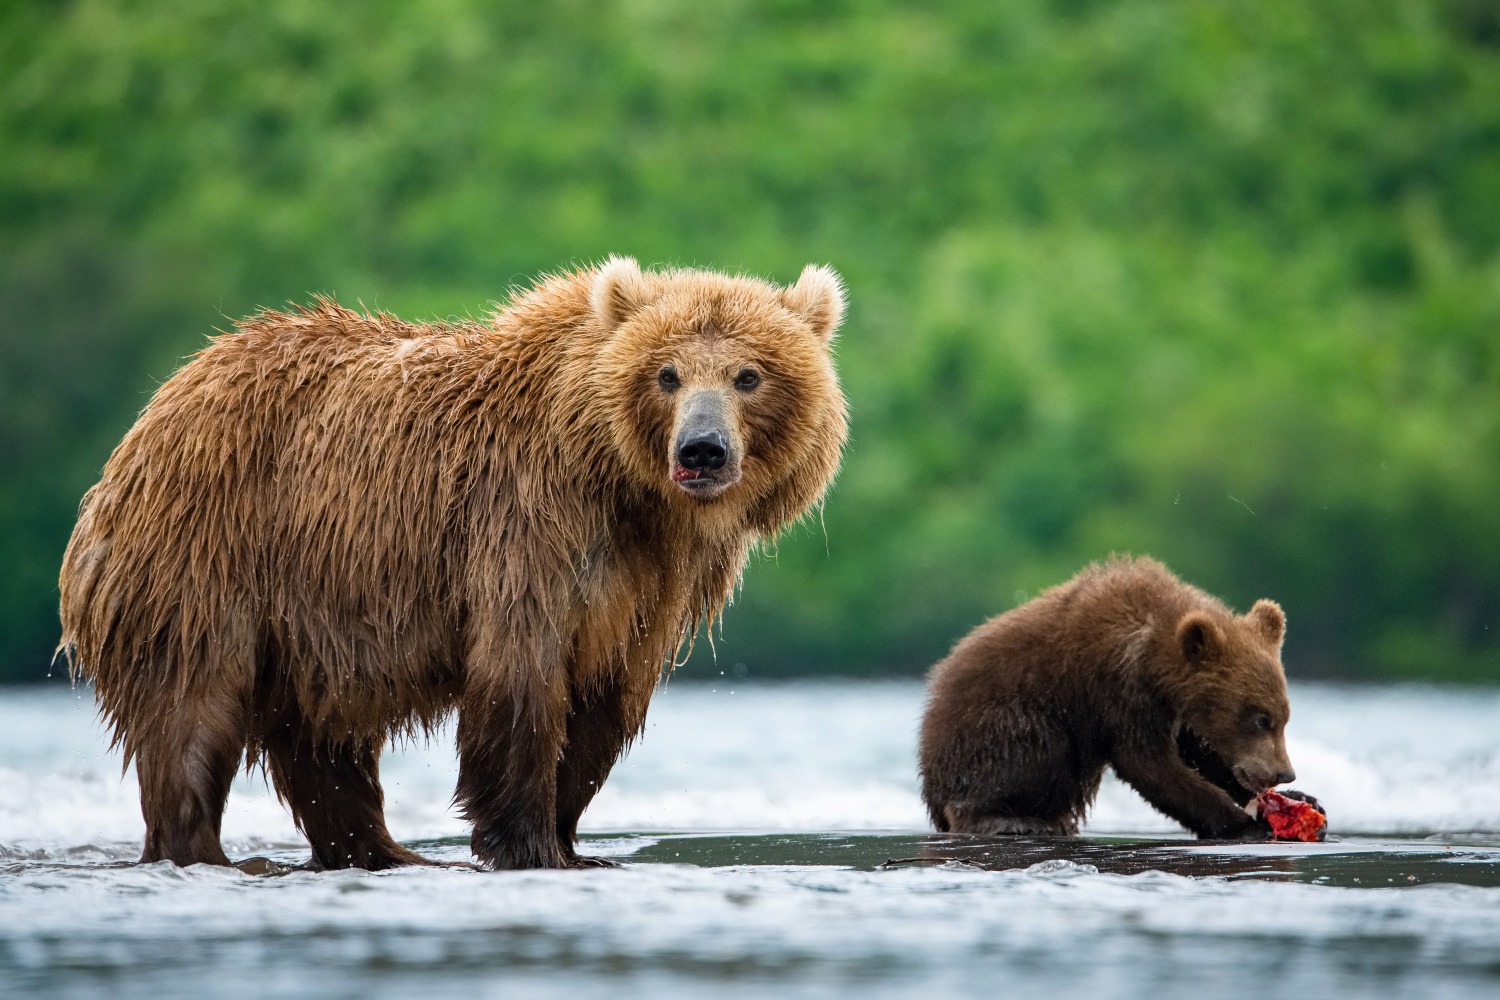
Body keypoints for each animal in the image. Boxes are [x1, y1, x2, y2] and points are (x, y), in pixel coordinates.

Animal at [58, 256, 852, 869]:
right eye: (667, 374)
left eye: (748, 375)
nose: (702, 450)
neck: (626, 490)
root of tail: (155, 412)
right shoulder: (528, 527)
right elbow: (522, 678)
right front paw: (526, 842)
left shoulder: (646, 585)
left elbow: (604, 699)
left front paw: (574, 839)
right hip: (209, 554)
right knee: (190, 713)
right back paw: (200, 846)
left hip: (308, 618)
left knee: (324, 743)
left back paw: (384, 851)